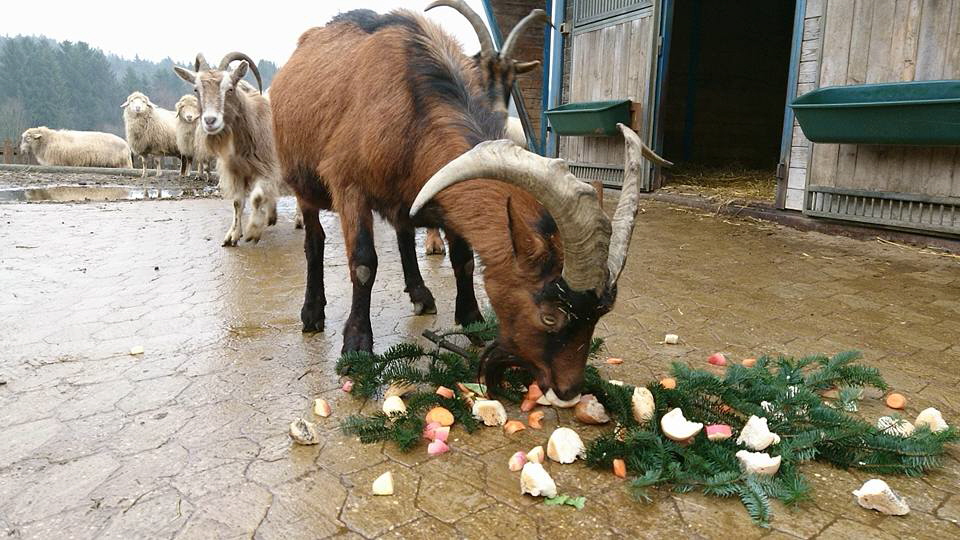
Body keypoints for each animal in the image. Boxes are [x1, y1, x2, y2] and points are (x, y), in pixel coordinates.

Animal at [173, 53, 280, 246]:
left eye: (230, 88)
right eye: (196, 90)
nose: (210, 120)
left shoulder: (267, 167)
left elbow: (257, 197)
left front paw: (253, 229)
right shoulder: (235, 171)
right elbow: (238, 203)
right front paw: (233, 235)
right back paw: (271, 216)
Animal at [270, 6, 668, 398]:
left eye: (599, 316)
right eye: (549, 315)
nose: (568, 391)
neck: (411, 112)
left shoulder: (441, 189)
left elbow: (464, 260)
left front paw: (472, 319)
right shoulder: (348, 184)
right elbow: (365, 264)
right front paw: (356, 346)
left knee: (403, 233)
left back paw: (421, 295)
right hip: (303, 183)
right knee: (315, 240)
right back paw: (312, 314)